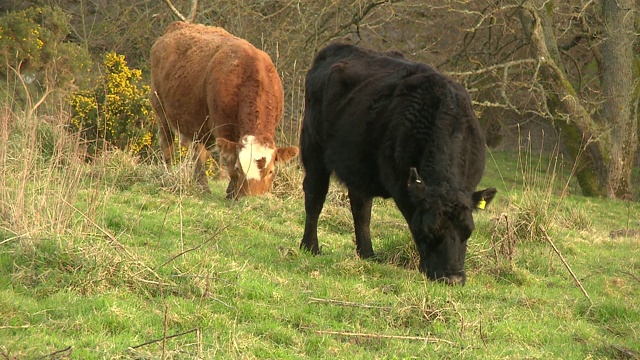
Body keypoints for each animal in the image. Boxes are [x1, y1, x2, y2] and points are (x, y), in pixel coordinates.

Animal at [151, 21, 298, 198]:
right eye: (239, 169)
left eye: (270, 171)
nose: (253, 199)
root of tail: (177, 25)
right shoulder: (223, 127)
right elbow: (229, 160)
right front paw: (231, 191)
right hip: (161, 110)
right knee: (168, 145)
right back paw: (170, 175)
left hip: (200, 123)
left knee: (199, 152)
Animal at [298, 42, 498, 286]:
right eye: (430, 231)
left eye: (468, 230)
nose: (453, 278)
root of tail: (339, 47)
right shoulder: (402, 186)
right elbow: (413, 221)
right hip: (313, 147)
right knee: (315, 195)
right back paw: (310, 246)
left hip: (358, 165)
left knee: (361, 208)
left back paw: (367, 254)